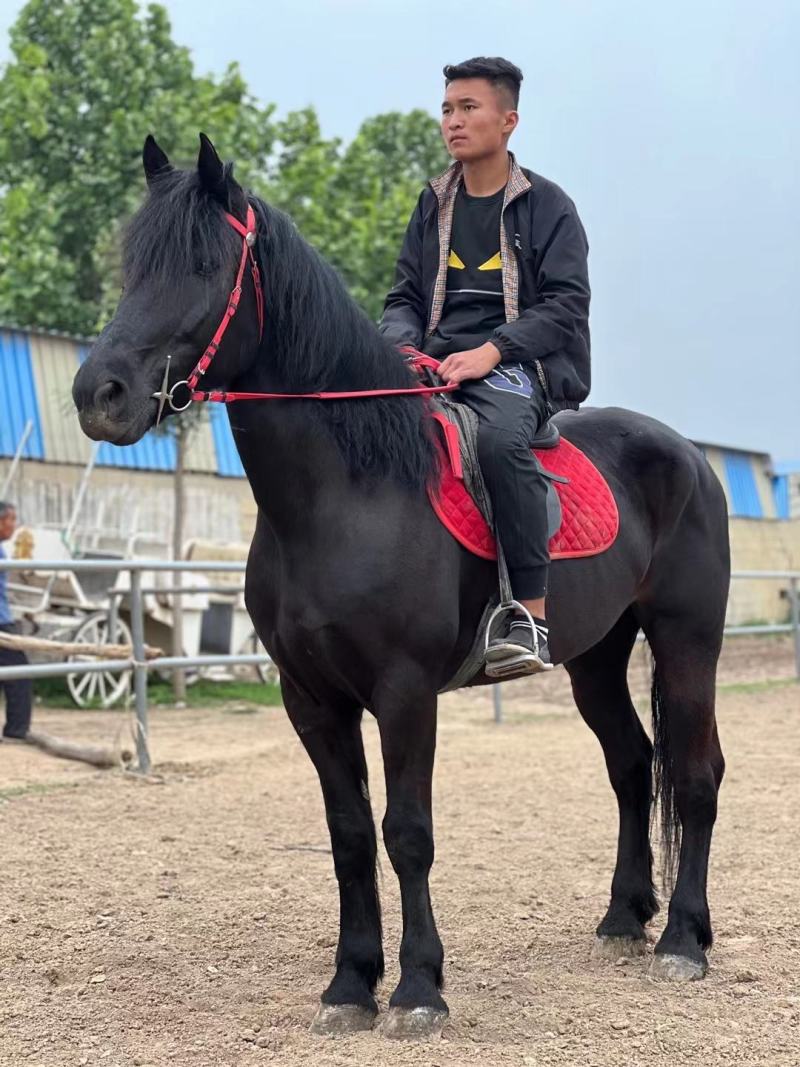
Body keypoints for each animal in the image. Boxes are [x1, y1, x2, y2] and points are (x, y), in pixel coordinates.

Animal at [73, 134, 729, 1039]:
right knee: (632, 764)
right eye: (134, 265)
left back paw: (684, 941)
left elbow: (407, 831)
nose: (96, 395)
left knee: (695, 773)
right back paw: (624, 917)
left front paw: (419, 987)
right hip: (596, 654)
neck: (346, 491)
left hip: (687, 638)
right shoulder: (311, 698)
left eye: (204, 266)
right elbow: (349, 833)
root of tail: (689, 456)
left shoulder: (406, 691)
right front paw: (351, 982)